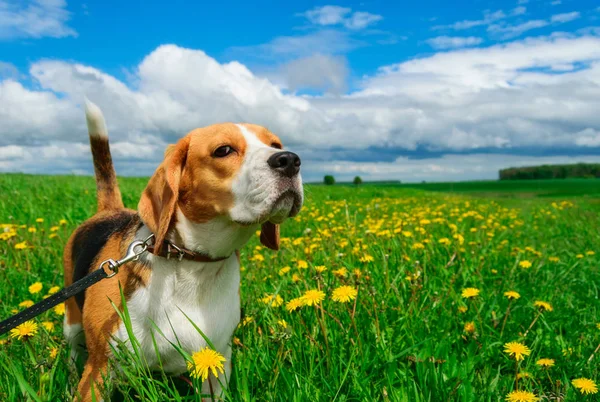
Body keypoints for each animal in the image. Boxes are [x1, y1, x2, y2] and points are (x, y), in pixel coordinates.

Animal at [63, 99, 302, 400]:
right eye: (224, 150)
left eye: (276, 144)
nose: (290, 160)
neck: (192, 265)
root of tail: (110, 210)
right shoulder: (99, 370)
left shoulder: (216, 364)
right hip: (71, 322)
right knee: (74, 351)